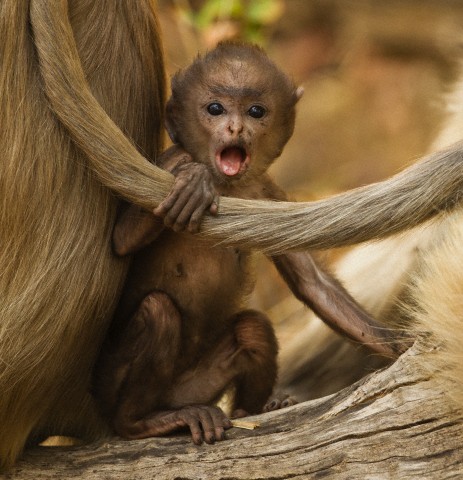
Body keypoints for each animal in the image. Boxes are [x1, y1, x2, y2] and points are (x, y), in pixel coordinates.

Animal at [94, 41, 396, 446]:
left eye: (256, 111)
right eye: (215, 109)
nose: (236, 127)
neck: (228, 185)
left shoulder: (267, 194)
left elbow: (313, 284)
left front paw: (402, 348)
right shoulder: (167, 160)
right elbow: (121, 242)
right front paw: (193, 178)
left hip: (199, 384)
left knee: (253, 328)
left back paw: (253, 410)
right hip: (113, 383)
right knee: (159, 311)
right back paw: (141, 422)